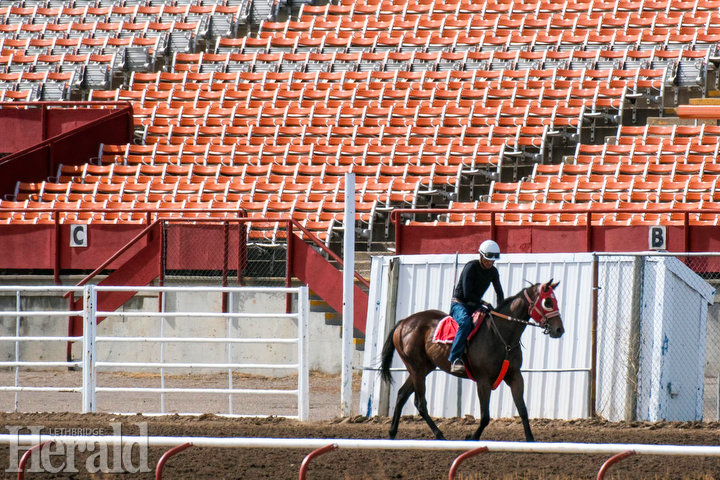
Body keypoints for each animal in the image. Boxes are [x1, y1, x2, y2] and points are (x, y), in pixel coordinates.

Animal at [380, 279, 565, 442]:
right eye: (548, 302)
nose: (559, 329)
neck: (501, 336)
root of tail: (403, 322)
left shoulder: (515, 376)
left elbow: (523, 410)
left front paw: (531, 439)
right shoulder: (483, 380)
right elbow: (485, 417)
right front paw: (472, 437)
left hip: (423, 368)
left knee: (402, 395)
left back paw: (392, 433)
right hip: (416, 368)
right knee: (420, 403)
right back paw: (440, 435)